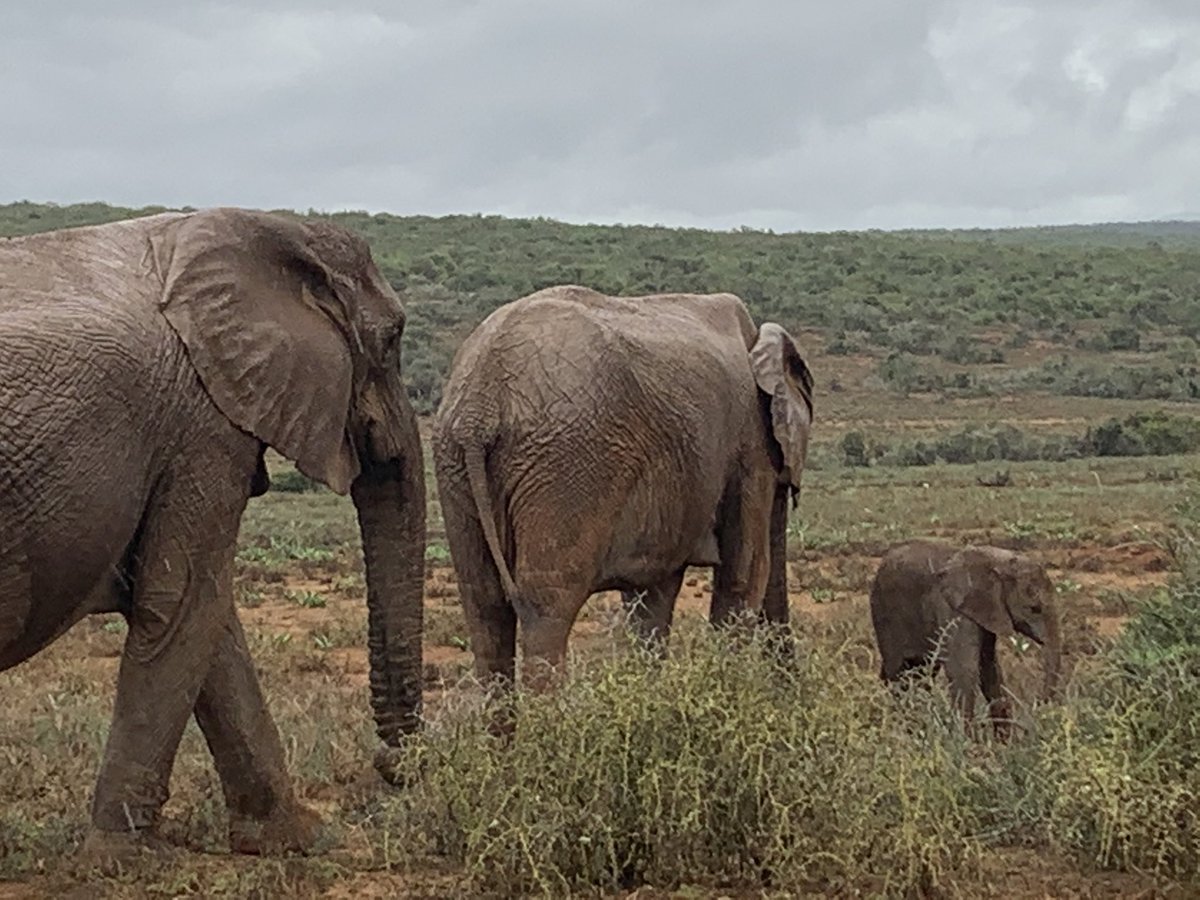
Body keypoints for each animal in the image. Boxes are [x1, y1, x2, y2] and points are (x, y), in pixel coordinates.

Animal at [0, 208, 426, 866]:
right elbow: (182, 602)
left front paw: (289, 842)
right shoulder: (202, 422)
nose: (395, 768)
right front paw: (125, 860)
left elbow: (211, 618)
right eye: (391, 339)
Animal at [432, 284, 813, 689]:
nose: (790, 689)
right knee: (547, 605)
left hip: (455, 463)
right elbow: (745, 573)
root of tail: (480, 408)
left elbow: (651, 597)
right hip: (567, 465)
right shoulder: (749, 446)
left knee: (485, 605)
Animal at [868, 541, 1062, 739]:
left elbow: (990, 668)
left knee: (922, 673)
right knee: (898, 671)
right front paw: (966, 742)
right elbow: (963, 669)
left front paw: (1004, 743)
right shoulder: (953, 610)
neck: (996, 560)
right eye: (1034, 609)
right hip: (884, 613)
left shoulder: (986, 611)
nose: (1039, 702)